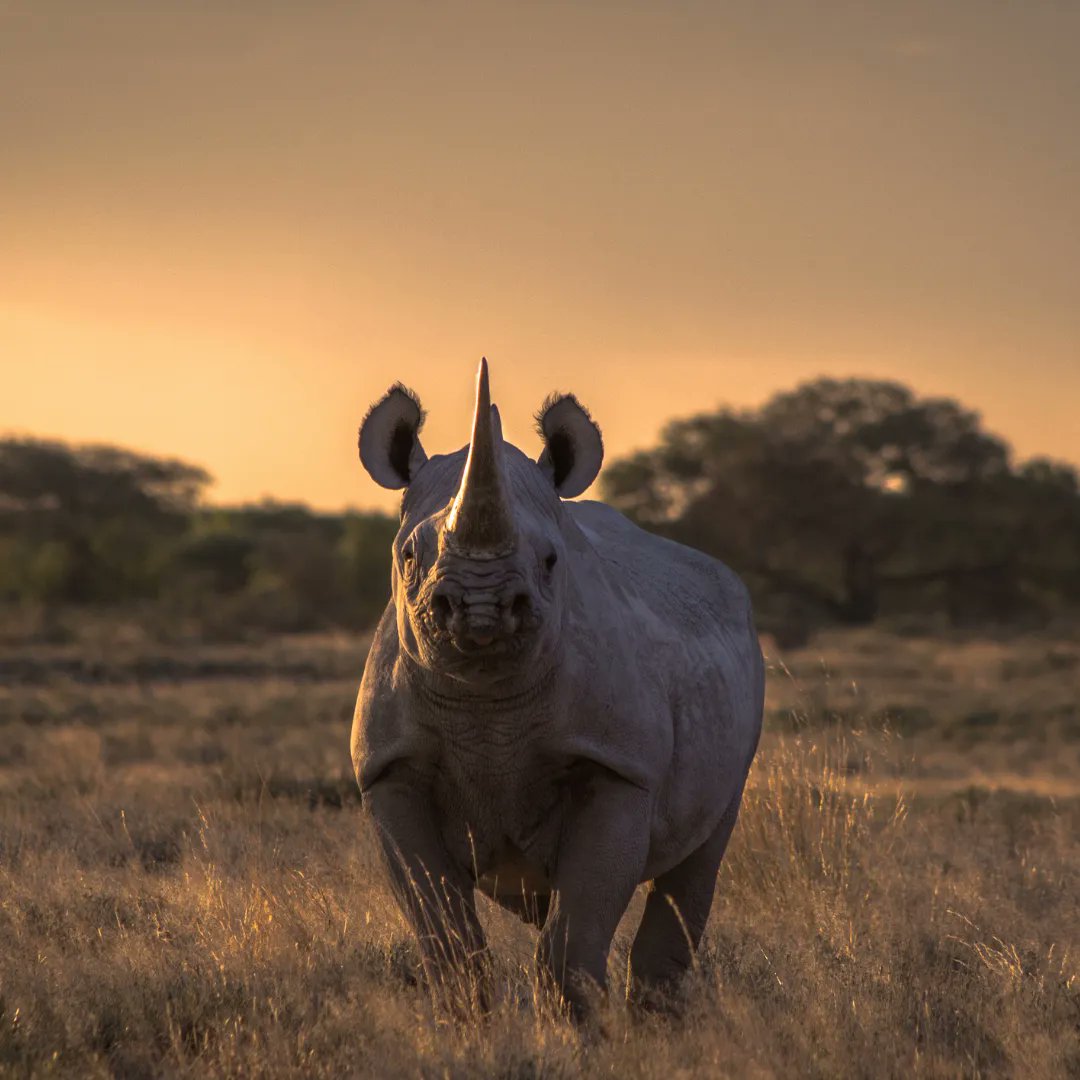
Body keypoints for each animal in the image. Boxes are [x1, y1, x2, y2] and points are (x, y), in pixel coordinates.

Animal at [352, 359, 764, 1016]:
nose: (480, 606)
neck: (487, 706)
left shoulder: (617, 765)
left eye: (550, 560)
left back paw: (659, 1026)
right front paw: (467, 1027)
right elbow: (448, 941)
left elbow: (570, 948)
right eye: (410, 555)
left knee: (699, 860)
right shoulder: (390, 769)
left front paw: (580, 1029)